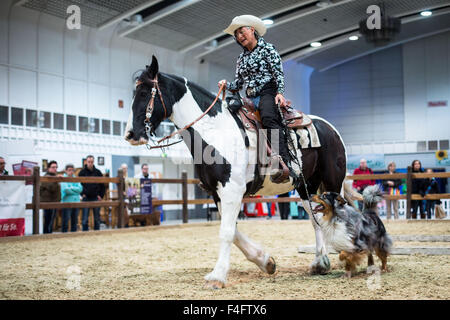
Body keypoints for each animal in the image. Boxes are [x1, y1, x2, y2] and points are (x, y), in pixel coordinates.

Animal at [125, 56, 346, 288]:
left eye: (143, 93)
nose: (130, 134)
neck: (215, 130)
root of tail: (330, 129)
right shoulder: (217, 192)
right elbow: (234, 230)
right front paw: (266, 261)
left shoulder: (232, 190)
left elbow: (227, 232)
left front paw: (217, 276)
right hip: (306, 188)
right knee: (316, 220)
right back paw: (320, 262)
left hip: (332, 182)